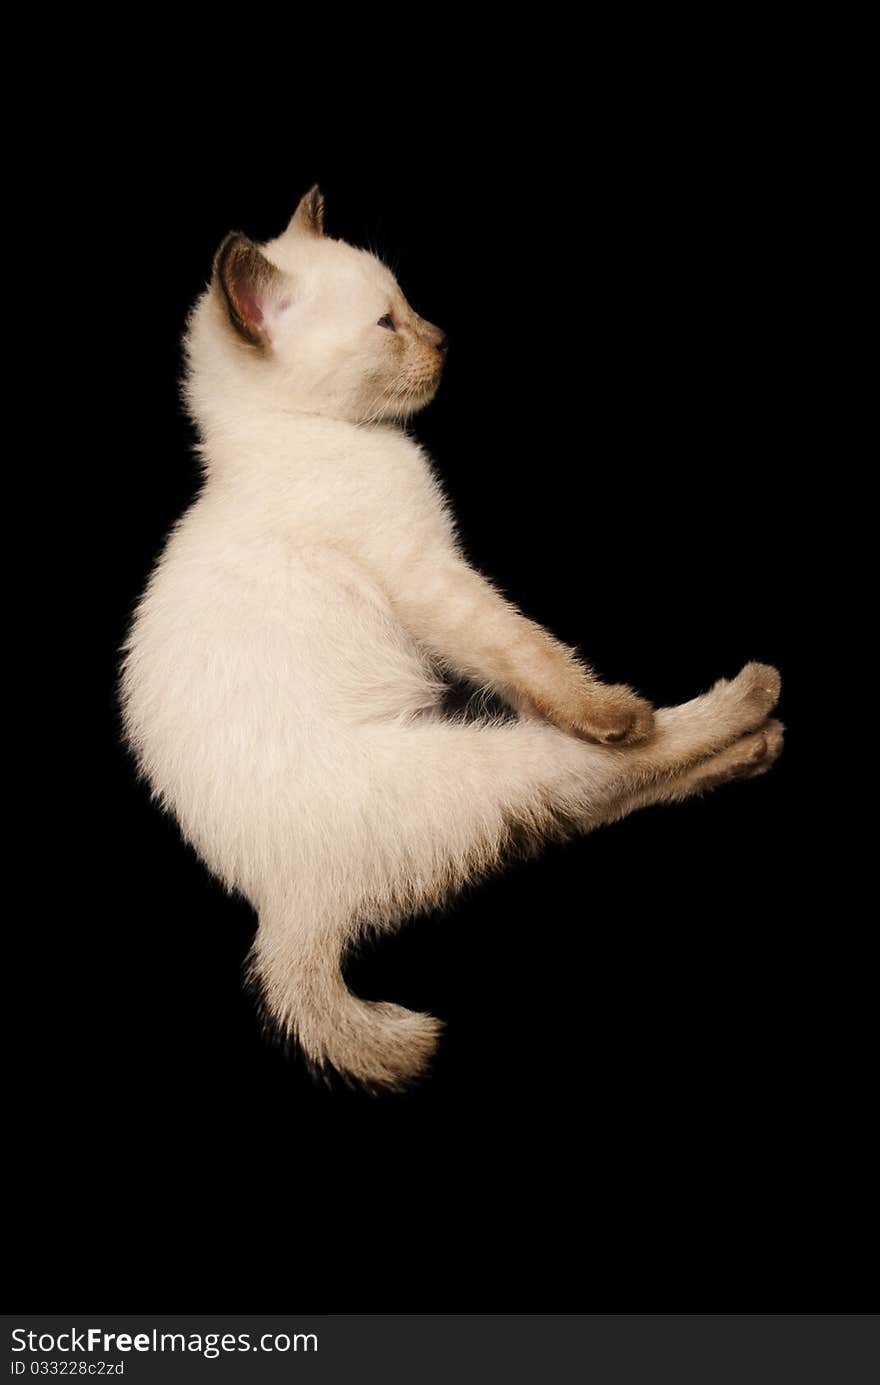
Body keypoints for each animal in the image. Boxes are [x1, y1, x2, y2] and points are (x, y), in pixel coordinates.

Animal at [117, 186, 787, 1091]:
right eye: (385, 324)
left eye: (409, 306)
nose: (444, 342)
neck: (307, 435)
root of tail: (283, 909)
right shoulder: (431, 578)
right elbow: (529, 648)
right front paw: (609, 707)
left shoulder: (438, 581)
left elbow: (523, 654)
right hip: (482, 759)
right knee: (607, 767)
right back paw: (735, 701)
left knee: (579, 808)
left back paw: (757, 743)